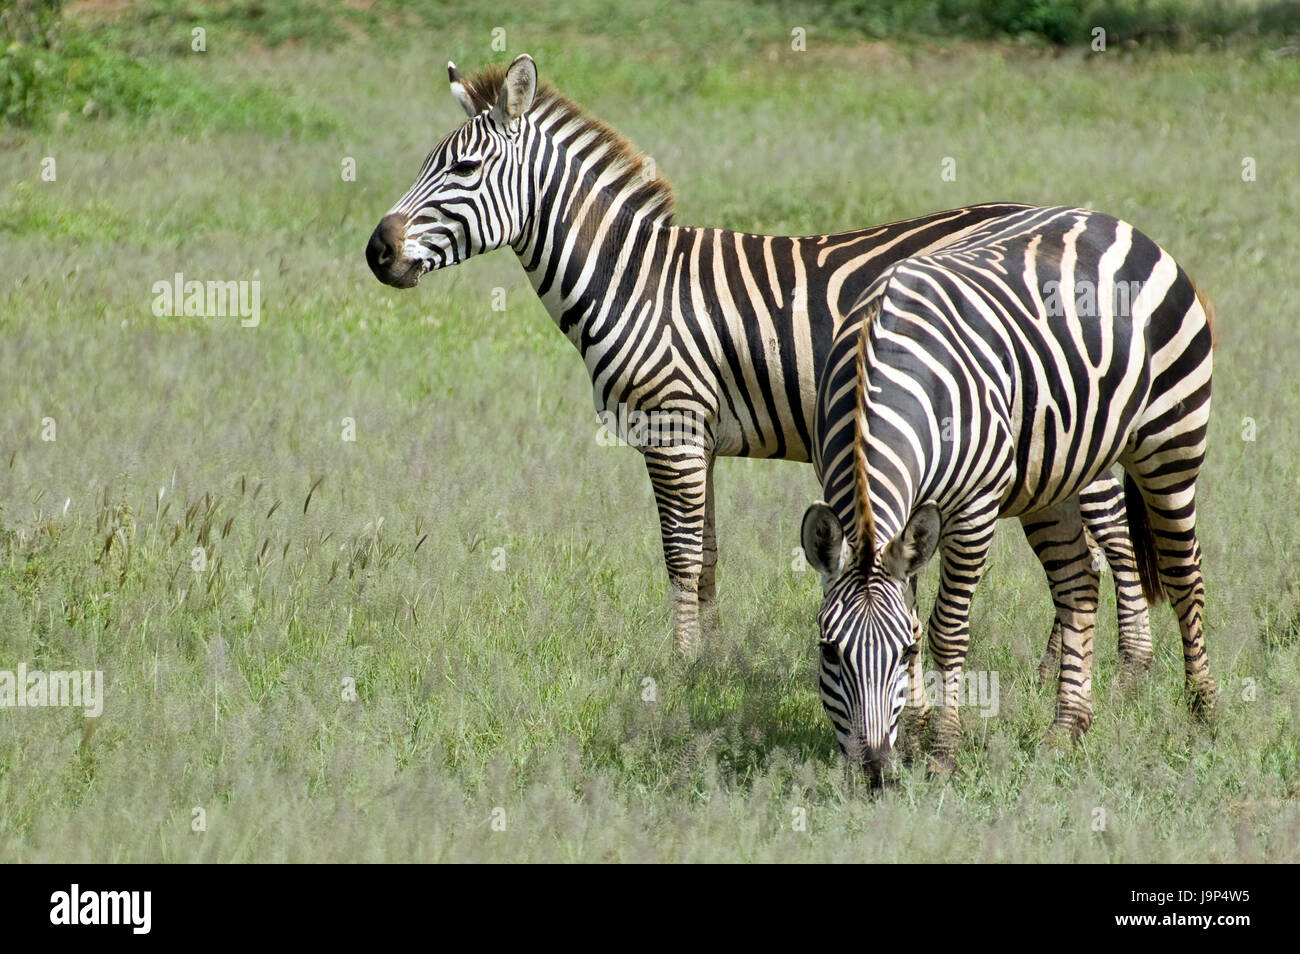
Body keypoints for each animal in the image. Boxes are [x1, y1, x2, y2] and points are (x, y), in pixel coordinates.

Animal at [364, 53, 1150, 668]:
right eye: (425, 163)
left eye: (464, 167)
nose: (377, 251)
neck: (635, 280)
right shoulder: (699, 439)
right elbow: (708, 557)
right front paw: (709, 662)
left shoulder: (672, 428)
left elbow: (679, 556)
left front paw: (679, 665)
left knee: (1111, 548)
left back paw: (1128, 674)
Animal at [799, 204, 1217, 779]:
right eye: (828, 651)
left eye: (904, 653)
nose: (876, 770)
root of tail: (1111, 221)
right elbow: (912, 605)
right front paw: (915, 737)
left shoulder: (973, 509)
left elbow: (947, 628)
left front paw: (942, 750)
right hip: (1055, 474)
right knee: (1078, 585)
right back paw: (1066, 728)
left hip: (1171, 441)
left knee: (1183, 573)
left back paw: (1204, 712)